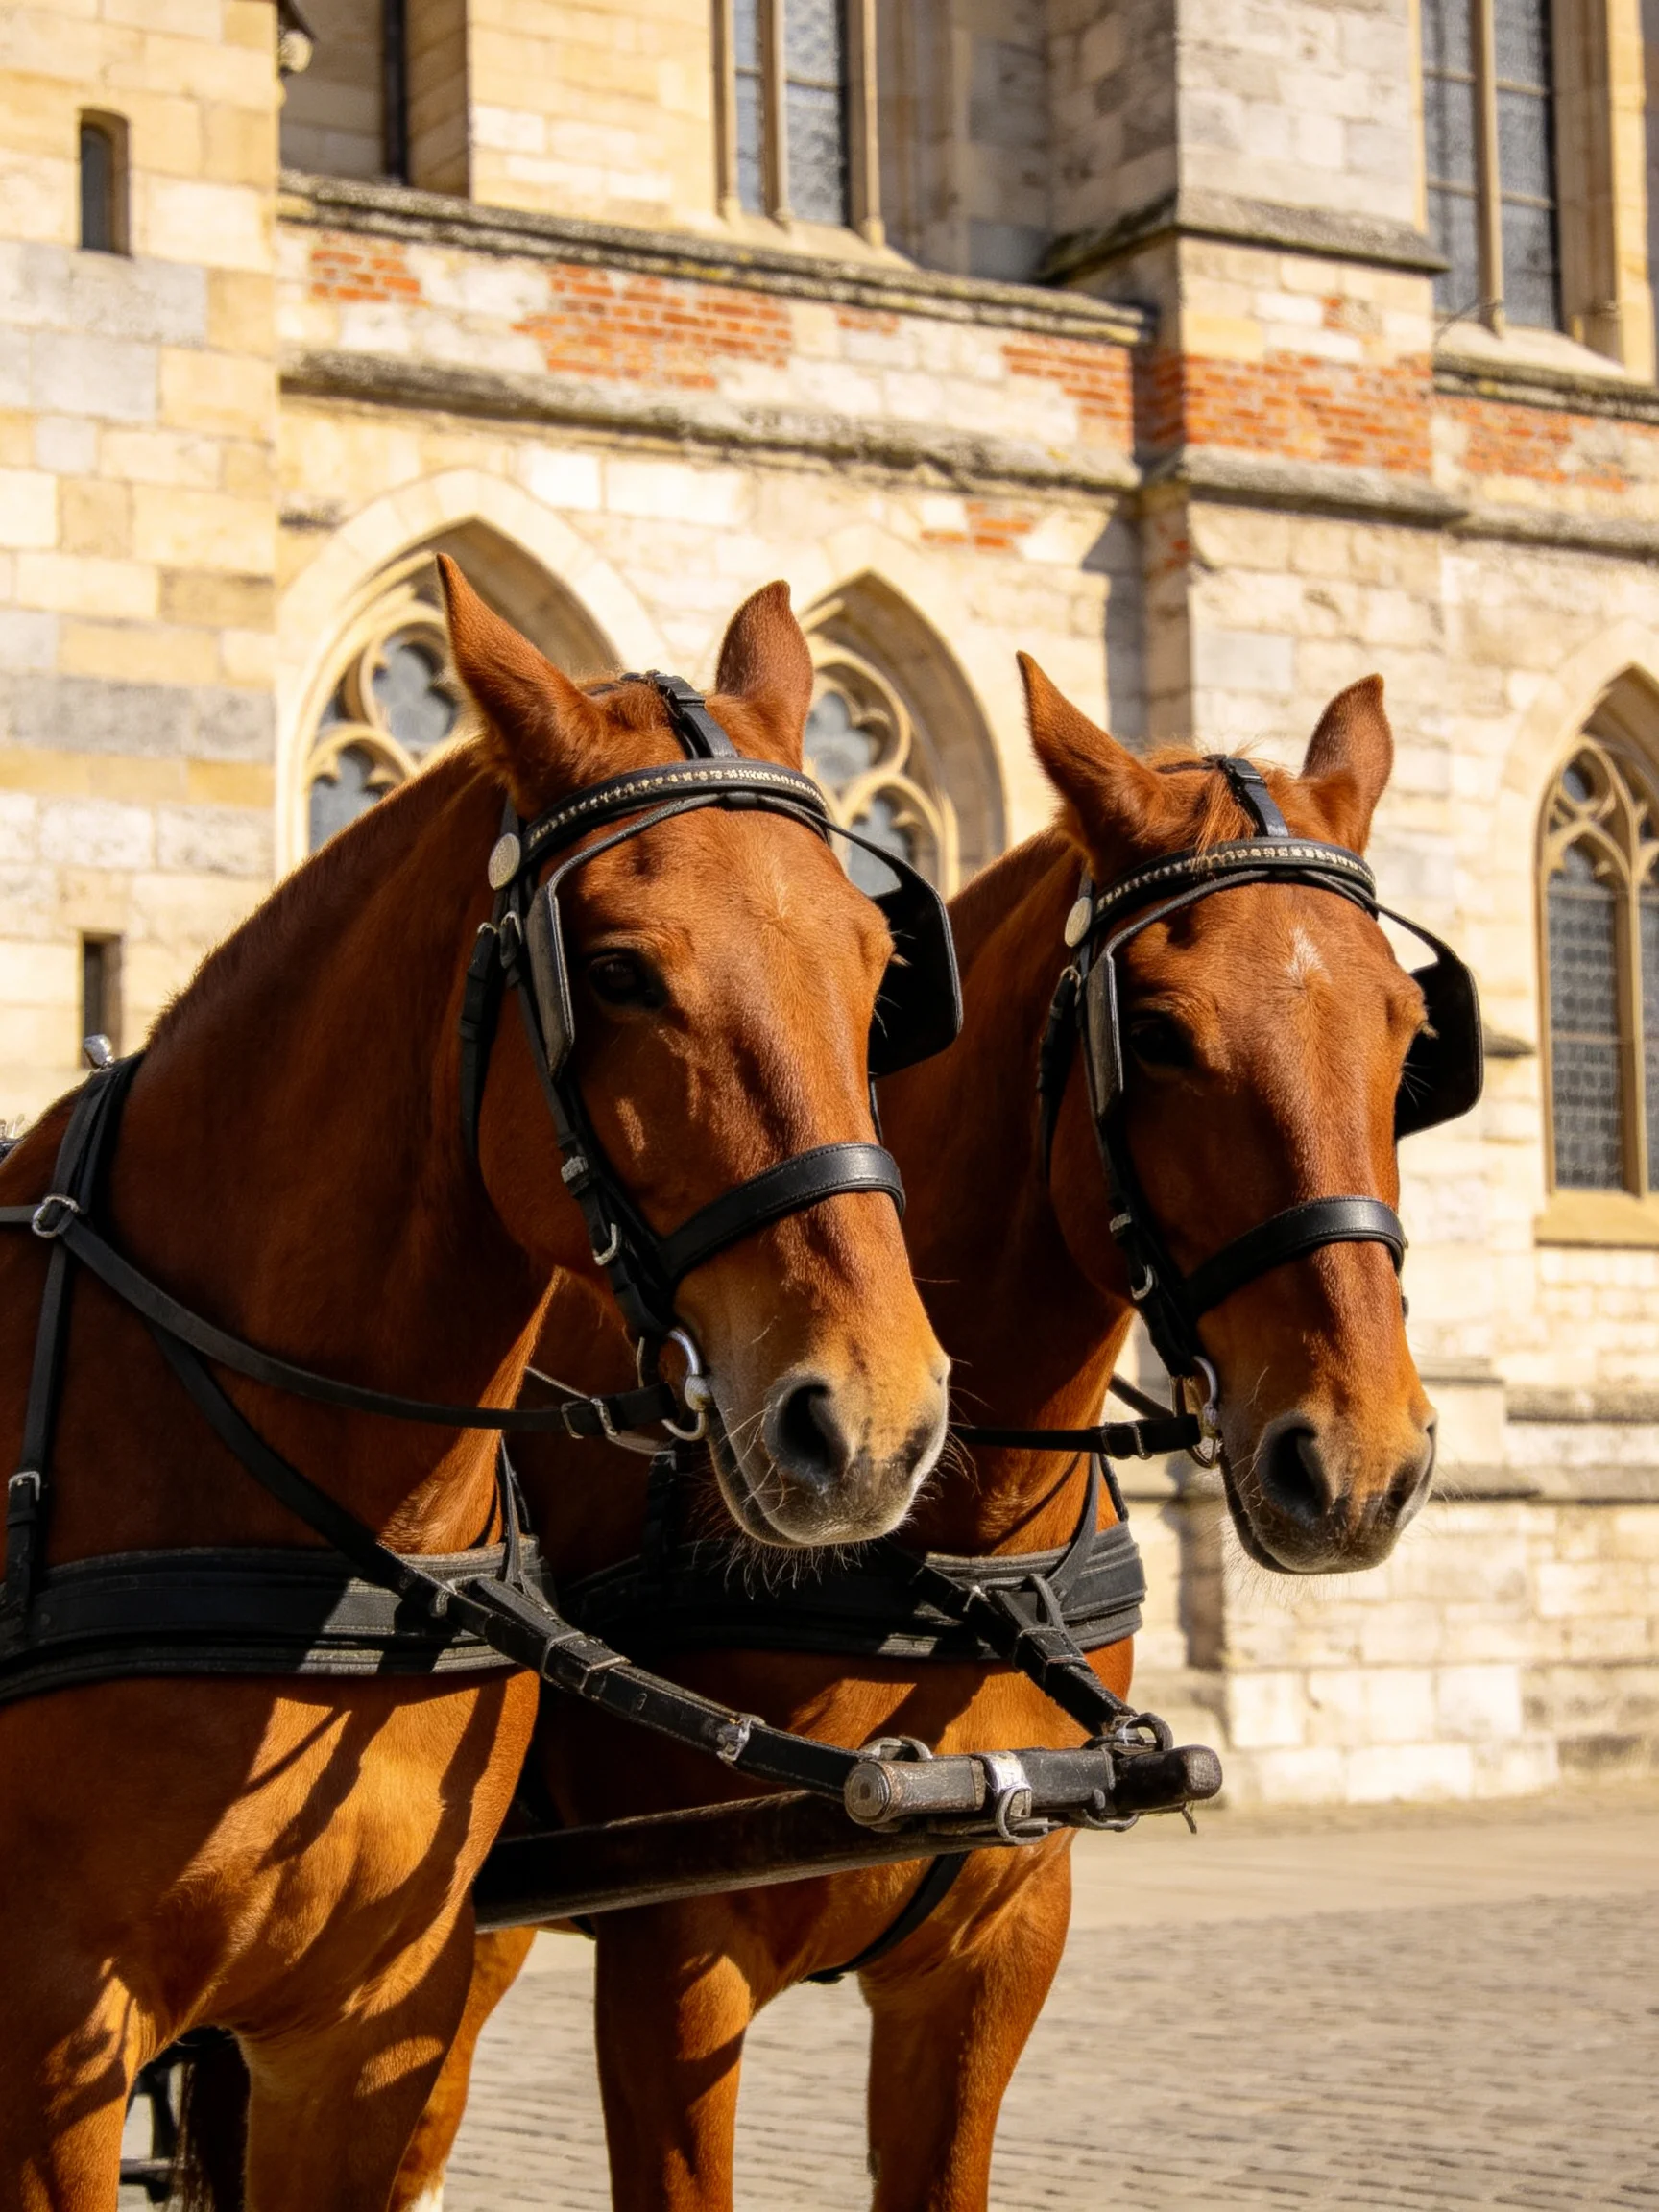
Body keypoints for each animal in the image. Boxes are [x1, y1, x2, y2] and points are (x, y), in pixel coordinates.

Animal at [387, 661, 1455, 2212]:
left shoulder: (991, 1962)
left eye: (1408, 1036)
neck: (952, 1567)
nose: (1365, 1462)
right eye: (1163, 1034)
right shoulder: (673, 1966)